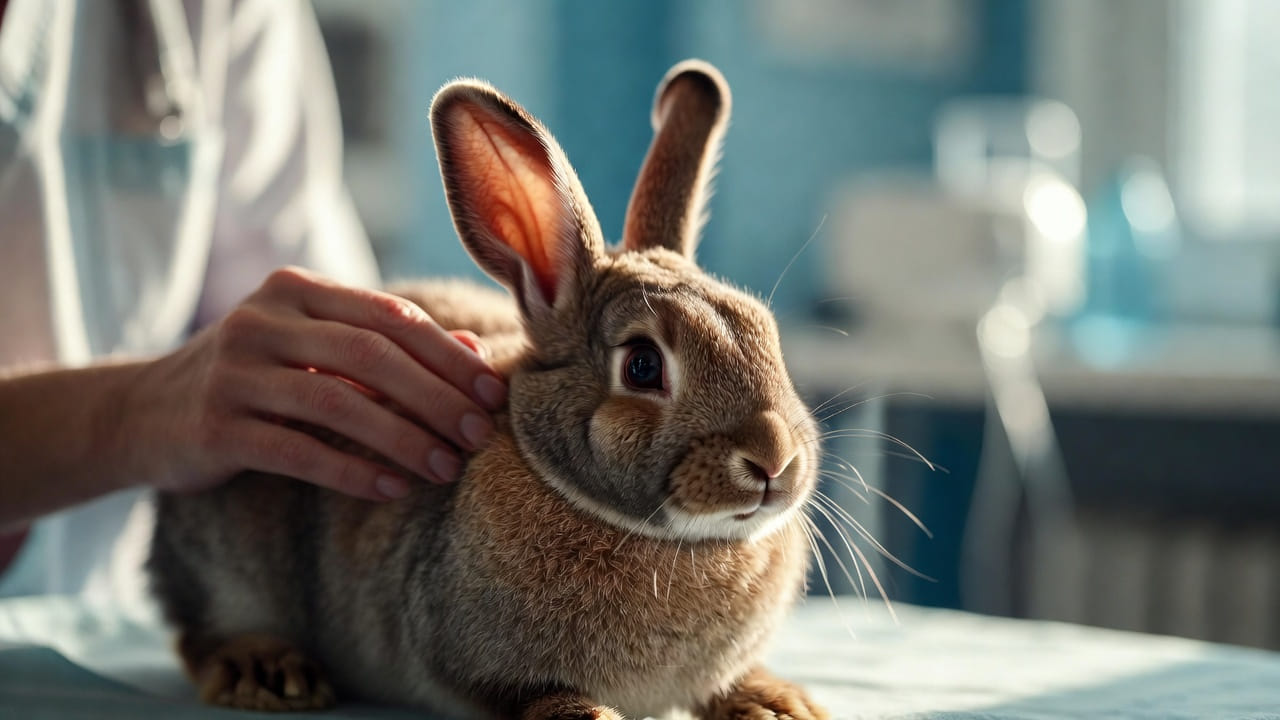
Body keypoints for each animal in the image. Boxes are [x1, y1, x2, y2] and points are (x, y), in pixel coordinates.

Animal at [147, 59, 828, 720]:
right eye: (641, 366)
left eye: (766, 334)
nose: (774, 461)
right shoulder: (474, 664)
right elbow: (537, 696)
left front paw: (777, 705)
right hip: (226, 554)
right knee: (198, 633)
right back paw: (264, 668)